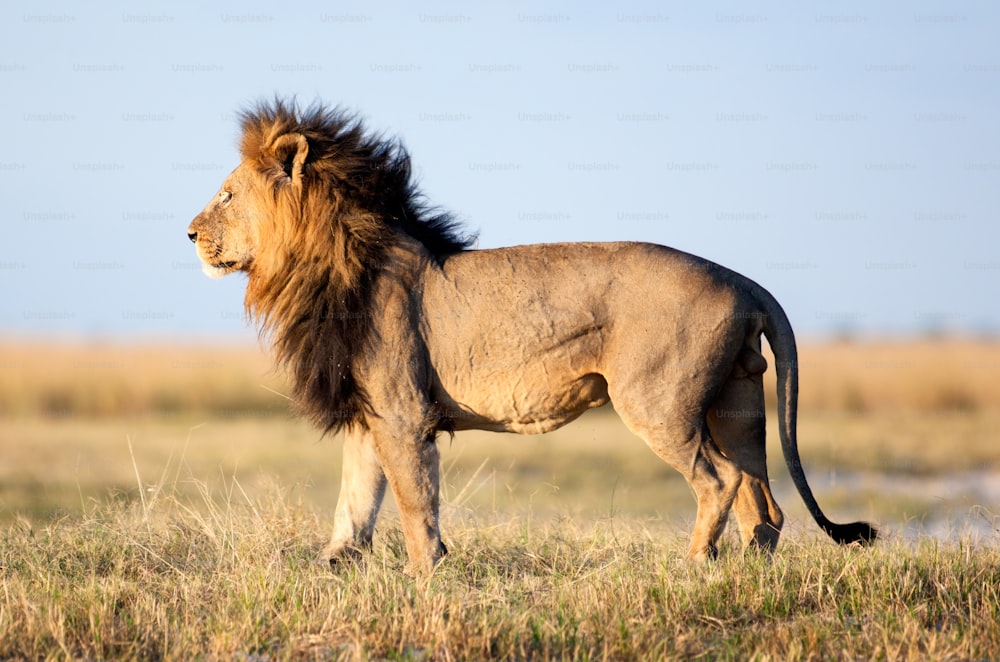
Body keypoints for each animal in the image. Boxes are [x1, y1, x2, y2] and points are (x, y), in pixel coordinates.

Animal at [188, 100, 876, 576]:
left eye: (225, 194)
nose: (189, 233)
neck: (328, 260)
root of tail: (741, 279)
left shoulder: (404, 414)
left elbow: (413, 503)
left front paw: (423, 579)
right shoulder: (369, 411)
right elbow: (355, 503)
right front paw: (333, 568)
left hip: (659, 403)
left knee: (720, 481)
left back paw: (690, 569)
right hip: (737, 403)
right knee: (764, 502)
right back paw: (744, 575)